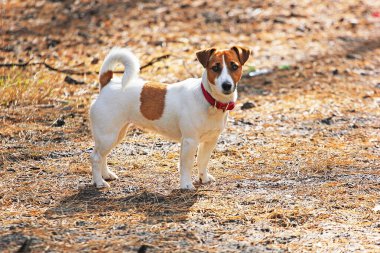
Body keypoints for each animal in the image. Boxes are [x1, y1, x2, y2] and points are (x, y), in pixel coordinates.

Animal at [88, 45, 249, 189]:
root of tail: (107, 83)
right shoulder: (190, 141)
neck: (208, 99)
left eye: (234, 66)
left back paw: (106, 175)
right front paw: (186, 185)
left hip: (116, 135)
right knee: (95, 157)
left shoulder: (210, 141)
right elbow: (186, 165)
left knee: (102, 155)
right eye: (215, 68)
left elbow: (203, 161)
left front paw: (203, 178)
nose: (227, 85)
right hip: (108, 136)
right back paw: (99, 182)